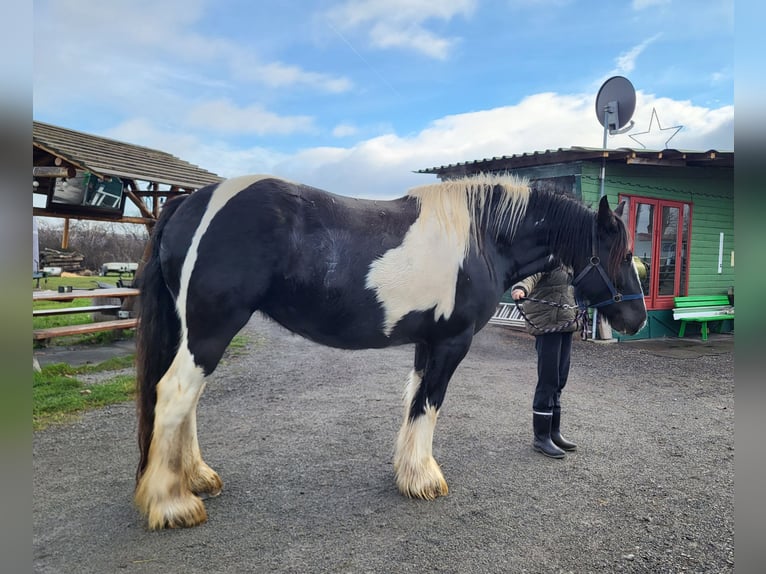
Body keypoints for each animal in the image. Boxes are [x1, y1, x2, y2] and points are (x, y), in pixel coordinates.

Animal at [134, 173, 646, 530]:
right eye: (621, 256)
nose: (637, 320)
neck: (482, 238)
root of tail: (189, 203)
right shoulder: (451, 342)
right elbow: (429, 403)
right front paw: (423, 480)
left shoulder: (426, 342)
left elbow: (413, 402)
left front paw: (407, 472)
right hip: (211, 329)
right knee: (175, 394)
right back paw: (172, 504)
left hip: (193, 333)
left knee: (185, 401)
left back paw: (197, 477)